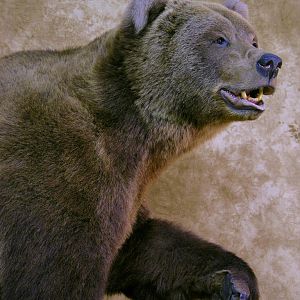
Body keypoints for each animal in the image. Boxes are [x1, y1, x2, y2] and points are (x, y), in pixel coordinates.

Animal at [0, 0, 282, 300]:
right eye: (219, 39)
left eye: (253, 38)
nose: (271, 61)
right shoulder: (62, 173)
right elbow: (53, 272)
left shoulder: (129, 188)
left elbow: (143, 246)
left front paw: (234, 281)